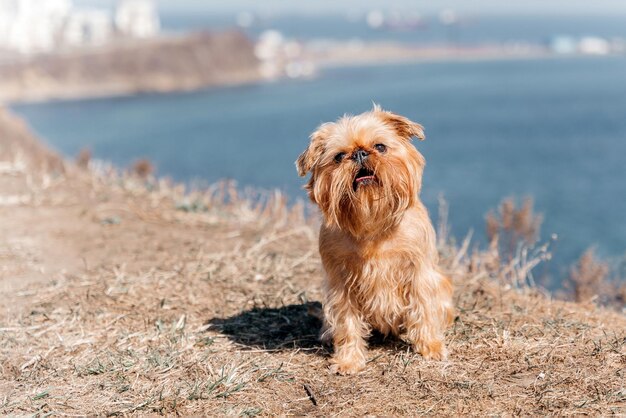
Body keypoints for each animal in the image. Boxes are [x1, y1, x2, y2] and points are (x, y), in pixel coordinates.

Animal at [294, 104, 450, 376]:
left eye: (380, 147)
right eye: (338, 156)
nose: (359, 153)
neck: (372, 222)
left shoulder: (419, 273)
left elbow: (424, 308)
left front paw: (430, 346)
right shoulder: (341, 283)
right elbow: (346, 323)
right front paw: (348, 360)